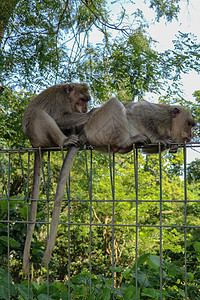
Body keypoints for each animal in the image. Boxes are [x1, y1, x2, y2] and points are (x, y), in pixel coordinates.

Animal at [22, 83, 91, 276]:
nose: (85, 108)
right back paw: (64, 141)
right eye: (83, 99)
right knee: (39, 114)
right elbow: (60, 118)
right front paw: (90, 115)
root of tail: (34, 145)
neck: (69, 97)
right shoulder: (61, 102)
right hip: (39, 134)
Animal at [41, 97, 196, 266]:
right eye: (189, 124)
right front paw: (160, 139)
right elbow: (139, 111)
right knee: (115, 104)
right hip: (101, 128)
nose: (190, 135)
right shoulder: (158, 115)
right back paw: (126, 141)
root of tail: (86, 130)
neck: (169, 125)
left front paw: (173, 146)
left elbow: (148, 149)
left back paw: (125, 147)